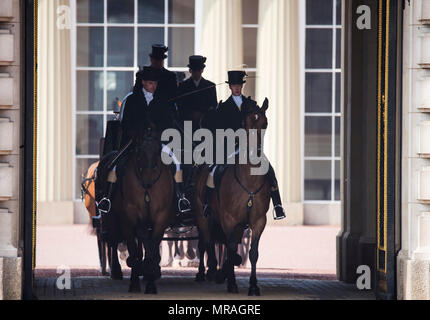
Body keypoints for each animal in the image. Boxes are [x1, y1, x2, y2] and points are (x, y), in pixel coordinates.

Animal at [112, 119, 176, 294]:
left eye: (158, 149)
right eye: (139, 150)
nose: (148, 180)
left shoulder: (160, 218)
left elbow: (152, 249)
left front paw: (151, 282)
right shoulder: (129, 219)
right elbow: (135, 251)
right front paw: (135, 282)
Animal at [194, 97, 268, 296]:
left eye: (265, 123)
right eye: (245, 123)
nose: (255, 152)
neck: (249, 179)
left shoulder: (258, 221)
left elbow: (252, 253)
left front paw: (253, 285)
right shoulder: (228, 219)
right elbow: (232, 248)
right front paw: (231, 282)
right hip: (204, 217)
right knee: (206, 241)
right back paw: (209, 271)